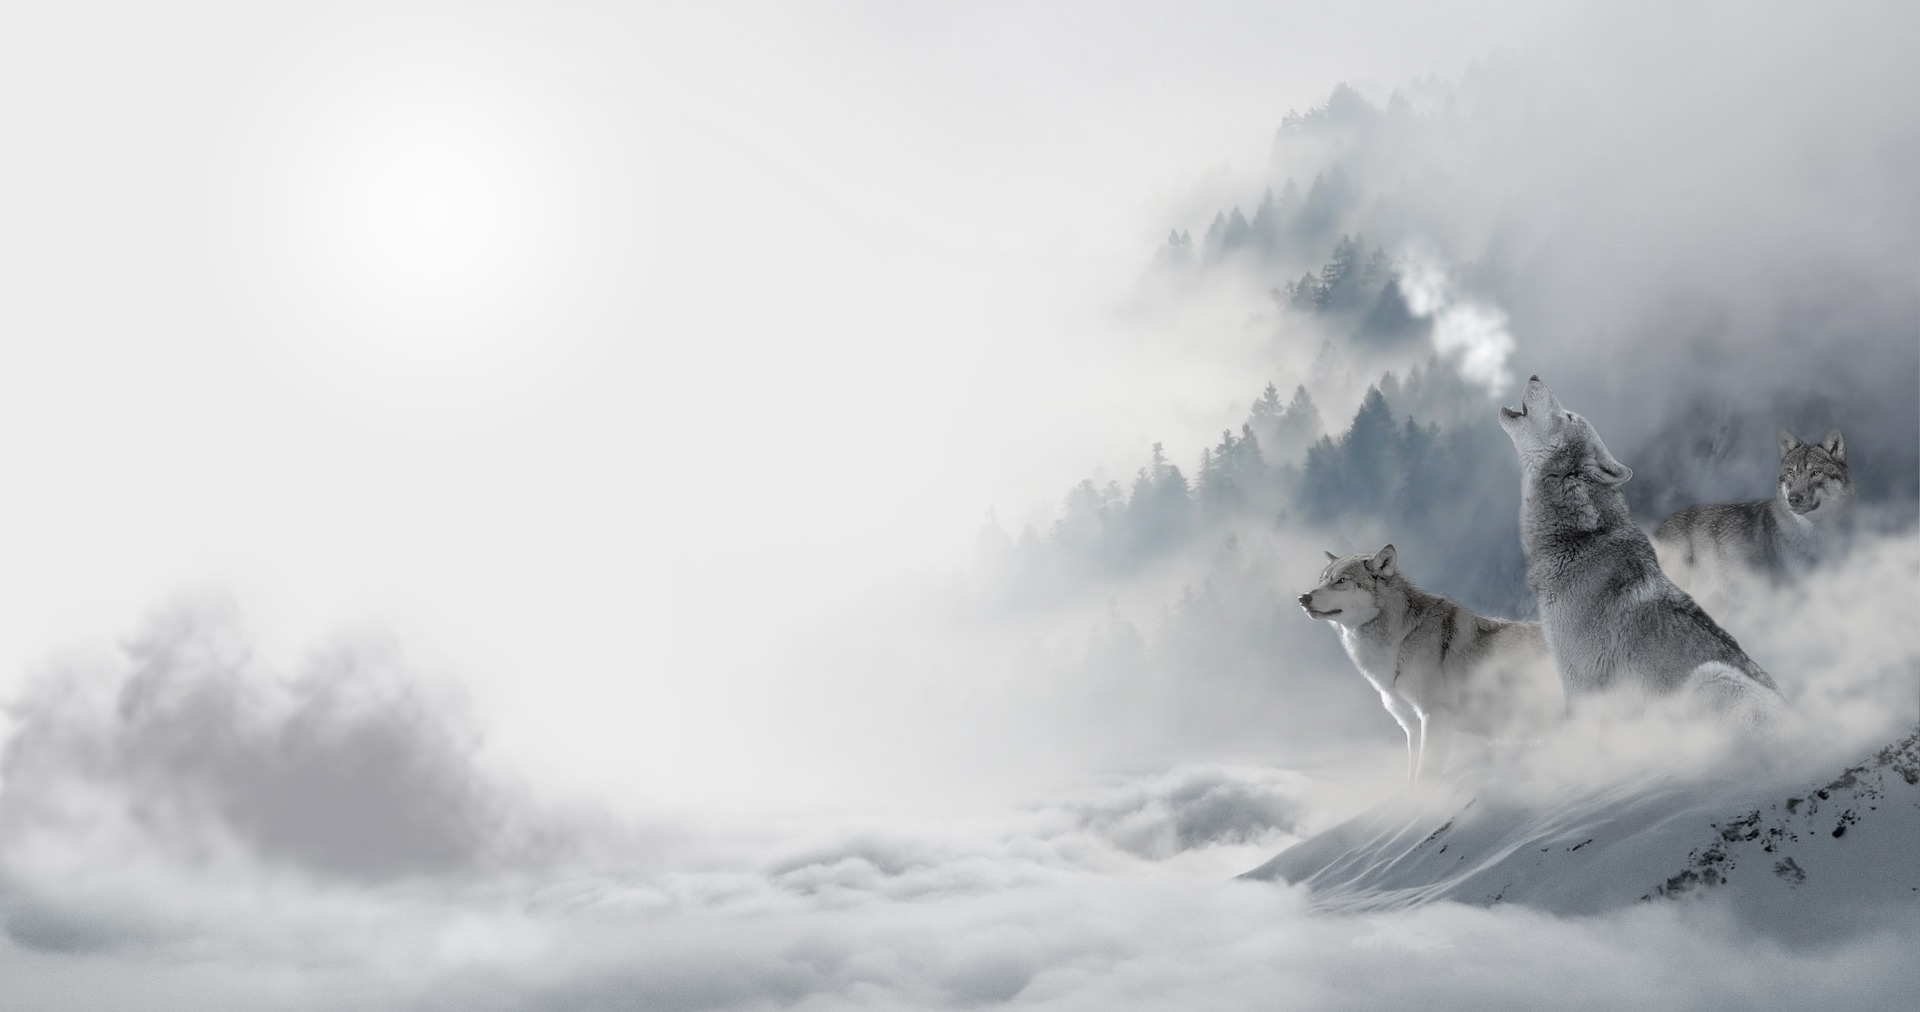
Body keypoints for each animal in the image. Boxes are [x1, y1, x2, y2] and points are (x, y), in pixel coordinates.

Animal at [1299, 544, 1563, 787]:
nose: (1303, 598)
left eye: (1341, 580)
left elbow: (1424, 776)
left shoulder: (1434, 717)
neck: (1401, 642)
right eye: (1322, 581)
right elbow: (1411, 779)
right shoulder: (1412, 727)